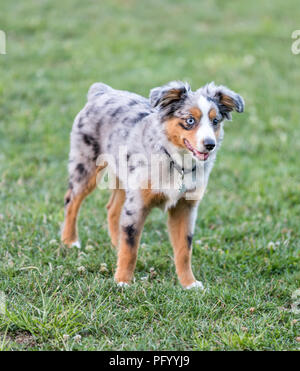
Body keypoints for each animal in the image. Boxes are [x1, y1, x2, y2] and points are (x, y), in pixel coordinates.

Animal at [61, 81, 244, 290]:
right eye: (190, 120)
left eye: (215, 121)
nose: (210, 144)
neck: (177, 161)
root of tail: (102, 91)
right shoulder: (138, 203)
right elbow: (131, 248)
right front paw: (123, 281)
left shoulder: (185, 207)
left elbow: (184, 249)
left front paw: (189, 283)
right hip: (86, 166)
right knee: (71, 201)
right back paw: (70, 241)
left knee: (112, 209)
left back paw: (115, 244)